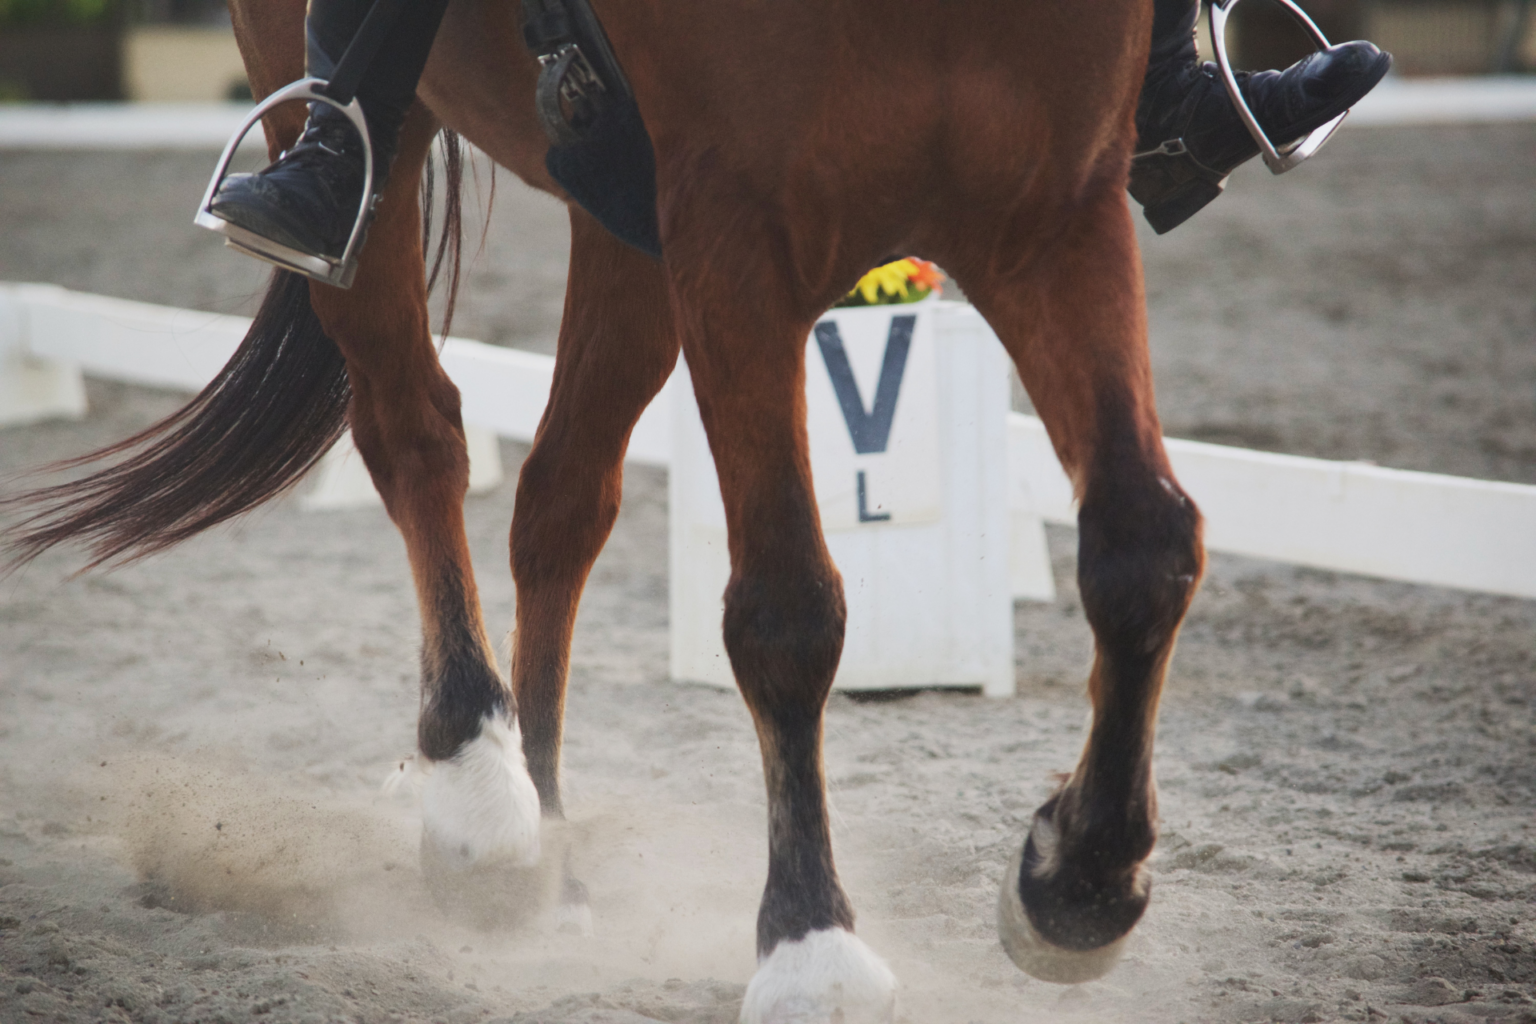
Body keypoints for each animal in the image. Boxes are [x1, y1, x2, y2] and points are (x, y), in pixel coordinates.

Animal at [2, 0, 1204, 1019]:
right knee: (416, 431)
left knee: (560, 501)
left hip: (623, 226)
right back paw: (480, 802)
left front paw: (1080, 884)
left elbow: (1144, 545)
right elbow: (785, 610)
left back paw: (553, 859)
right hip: (350, 126)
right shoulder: (734, 227)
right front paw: (811, 949)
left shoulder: (1055, 212)